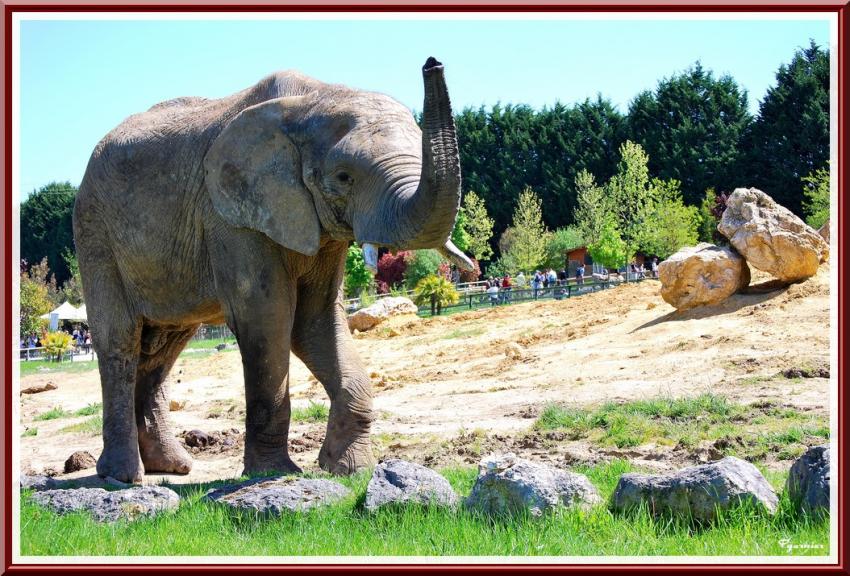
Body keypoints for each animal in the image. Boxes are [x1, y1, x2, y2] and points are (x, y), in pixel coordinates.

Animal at [72, 57, 470, 482]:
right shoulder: (229, 217)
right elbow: (268, 320)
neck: (312, 100)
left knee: (165, 348)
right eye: (344, 177)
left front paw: (347, 470)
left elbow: (315, 321)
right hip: (95, 234)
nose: (432, 63)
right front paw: (272, 473)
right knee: (121, 341)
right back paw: (121, 476)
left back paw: (172, 466)